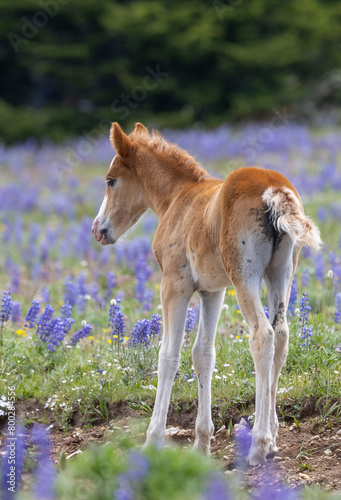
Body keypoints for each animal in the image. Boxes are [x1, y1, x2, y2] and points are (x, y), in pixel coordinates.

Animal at [91, 121, 320, 464]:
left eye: (111, 180)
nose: (98, 229)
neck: (177, 198)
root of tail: (274, 190)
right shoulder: (213, 291)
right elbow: (203, 354)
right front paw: (201, 443)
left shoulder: (174, 285)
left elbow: (169, 356)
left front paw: (153, 440)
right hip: (280, 274)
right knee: (280, 335)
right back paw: (273, 438)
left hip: (245, 277)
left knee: (261, 335)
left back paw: (259, 443)